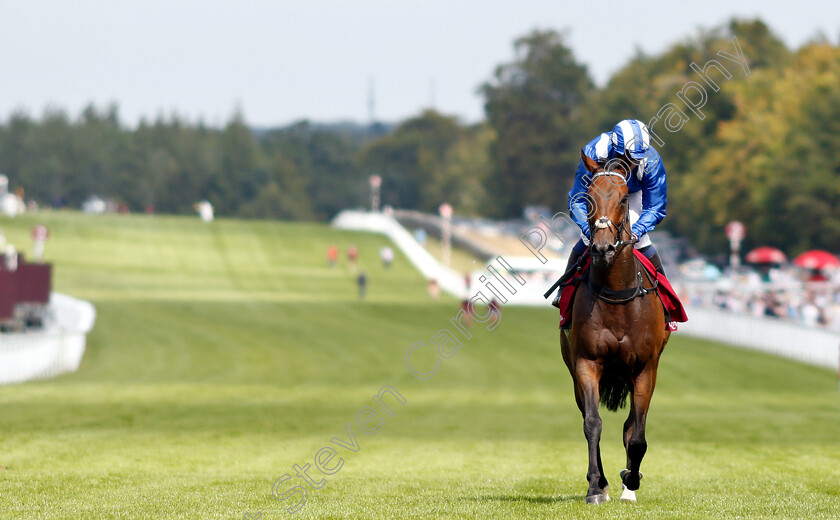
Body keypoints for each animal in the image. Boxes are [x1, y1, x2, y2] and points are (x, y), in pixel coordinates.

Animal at [560, 149, 672, 504]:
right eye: (589, 197)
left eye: (623, 199)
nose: (602, 247)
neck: (617, 295)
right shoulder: (586, 362)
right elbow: (592, 423)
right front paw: (597, 486)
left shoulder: (646, 367)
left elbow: (636, 434)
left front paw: (631, 480)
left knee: (631, 425)